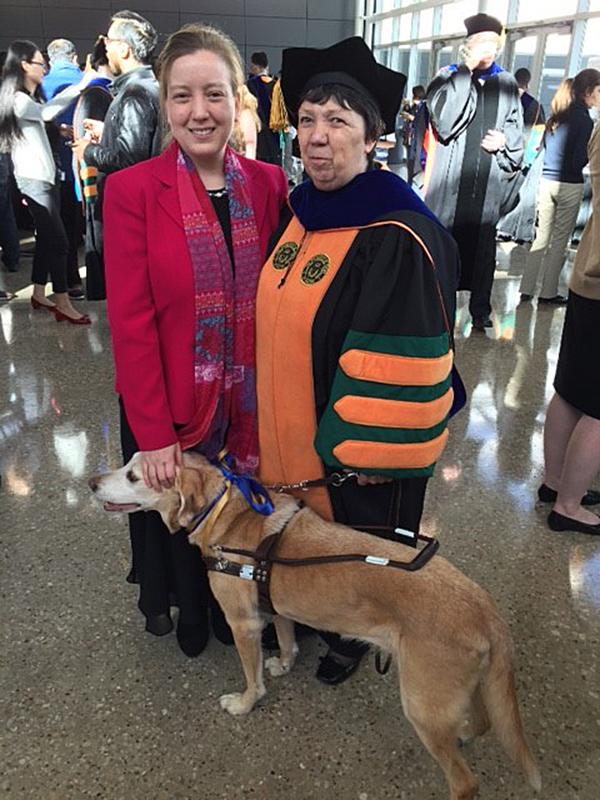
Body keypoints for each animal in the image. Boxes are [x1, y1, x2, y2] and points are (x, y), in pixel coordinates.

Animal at [88, 450, 540, 800]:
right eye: (128, 463)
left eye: (133, 475)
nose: (91, 482)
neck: (227, 512)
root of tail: (486, 608)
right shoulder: (279, 608)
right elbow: (287, 640)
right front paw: (285, 663)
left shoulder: (243, 624)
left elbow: (251, 677)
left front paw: (245, 703)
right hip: (459, 689)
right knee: (483, 722)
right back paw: (464, 731)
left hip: (421, 703)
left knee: (465, 782)